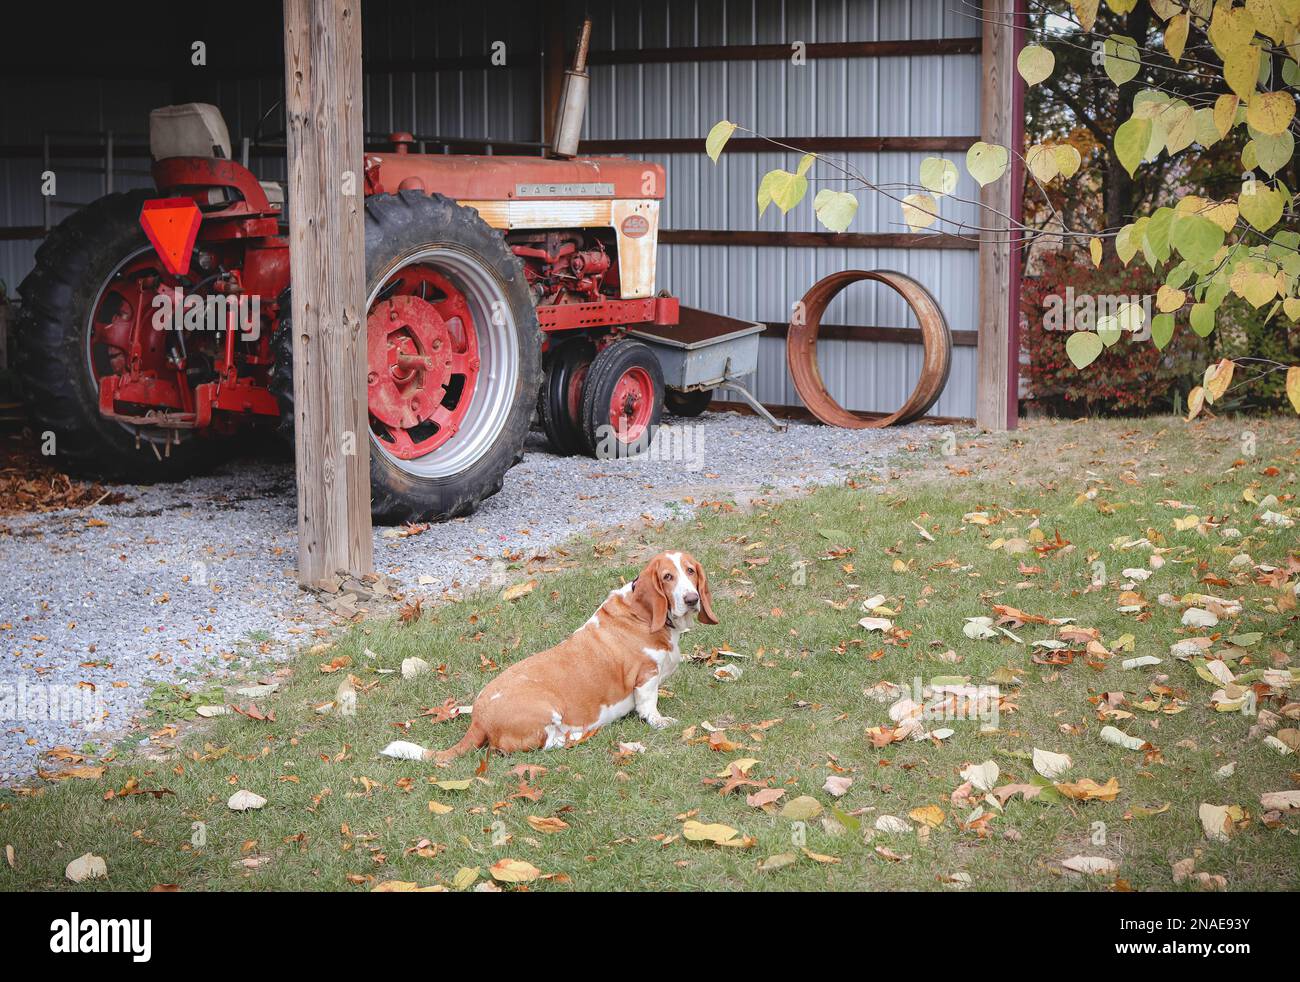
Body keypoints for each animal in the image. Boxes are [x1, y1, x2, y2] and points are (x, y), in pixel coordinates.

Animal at [379, 548, 717, 764]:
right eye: (667, 577)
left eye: (690, 571)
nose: (692, 599)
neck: (642, 612)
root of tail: (479, 719)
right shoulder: (645, 677)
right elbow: (649, 706)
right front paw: (660, 721)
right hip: (547, 710)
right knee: (543, 744)